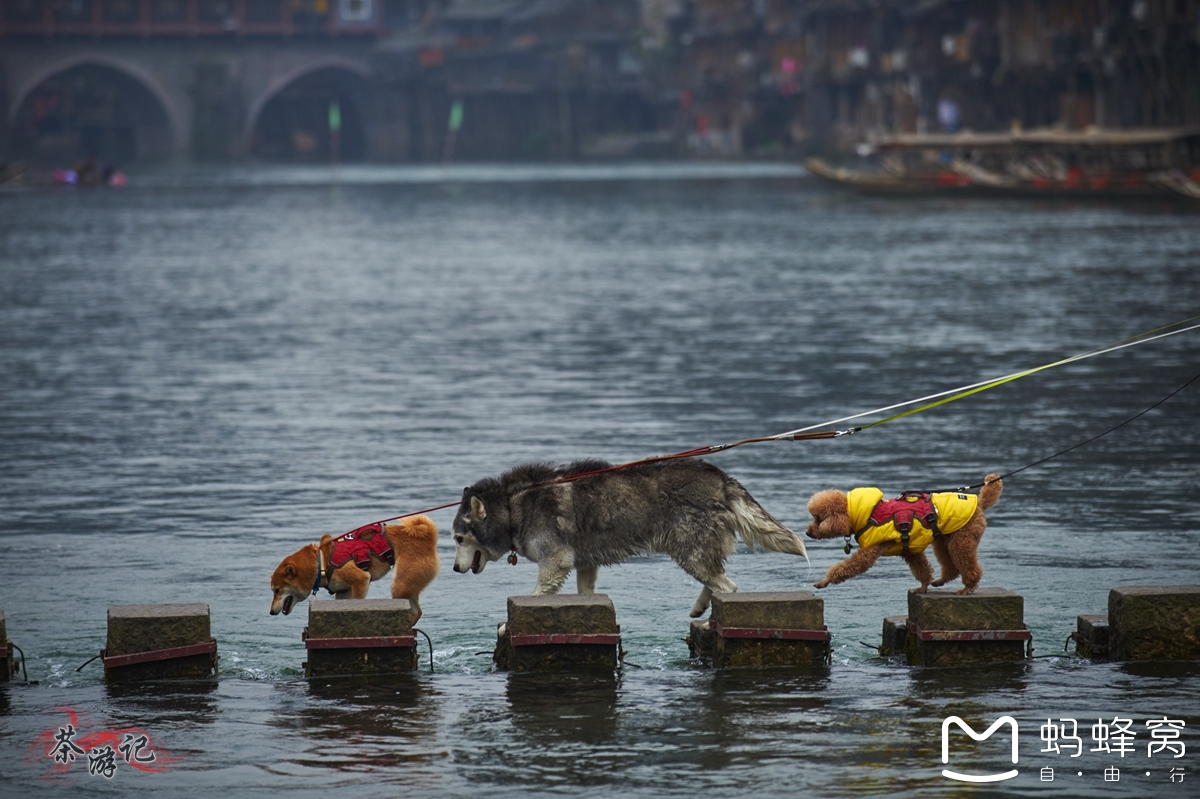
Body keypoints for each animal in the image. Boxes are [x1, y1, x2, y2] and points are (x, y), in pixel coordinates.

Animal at [453, 453, 811, 614]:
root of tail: (720, 476)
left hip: (689, 553)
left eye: (458, 539)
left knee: (729, 587)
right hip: (696, 554)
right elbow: (586, 594)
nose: (455, 569)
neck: (513, 508)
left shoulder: (555, 562)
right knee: (719, 581)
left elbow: (537, 593)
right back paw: (700, 608)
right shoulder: (585, 565)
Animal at [806, 472, 1003, 590]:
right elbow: (922, 570)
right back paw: (941, 580)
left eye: (818, 518)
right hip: (944, 540)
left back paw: (968, 588)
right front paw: (923, 587)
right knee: (951, 566)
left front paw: (825, 581)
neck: (864, 515)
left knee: (969, 565)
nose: (808, 533)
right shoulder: (910, 550)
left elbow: (848, 567)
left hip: (962, 539)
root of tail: (979, 504)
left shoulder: (870, 551)